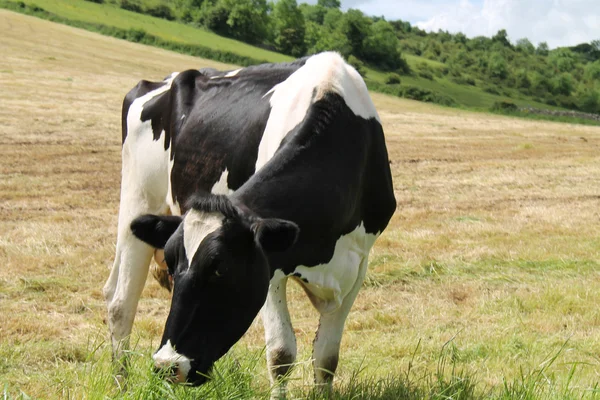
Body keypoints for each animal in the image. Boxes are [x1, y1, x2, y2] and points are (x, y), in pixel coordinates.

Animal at [103, 51, 396, 396]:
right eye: (174, 264)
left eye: (220, 268)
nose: (167, 365)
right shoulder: (270, 265)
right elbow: (281, 354)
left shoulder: (359, 263)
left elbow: (326, 358)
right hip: (138, 196)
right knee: (120, 303)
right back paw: (121, 386)